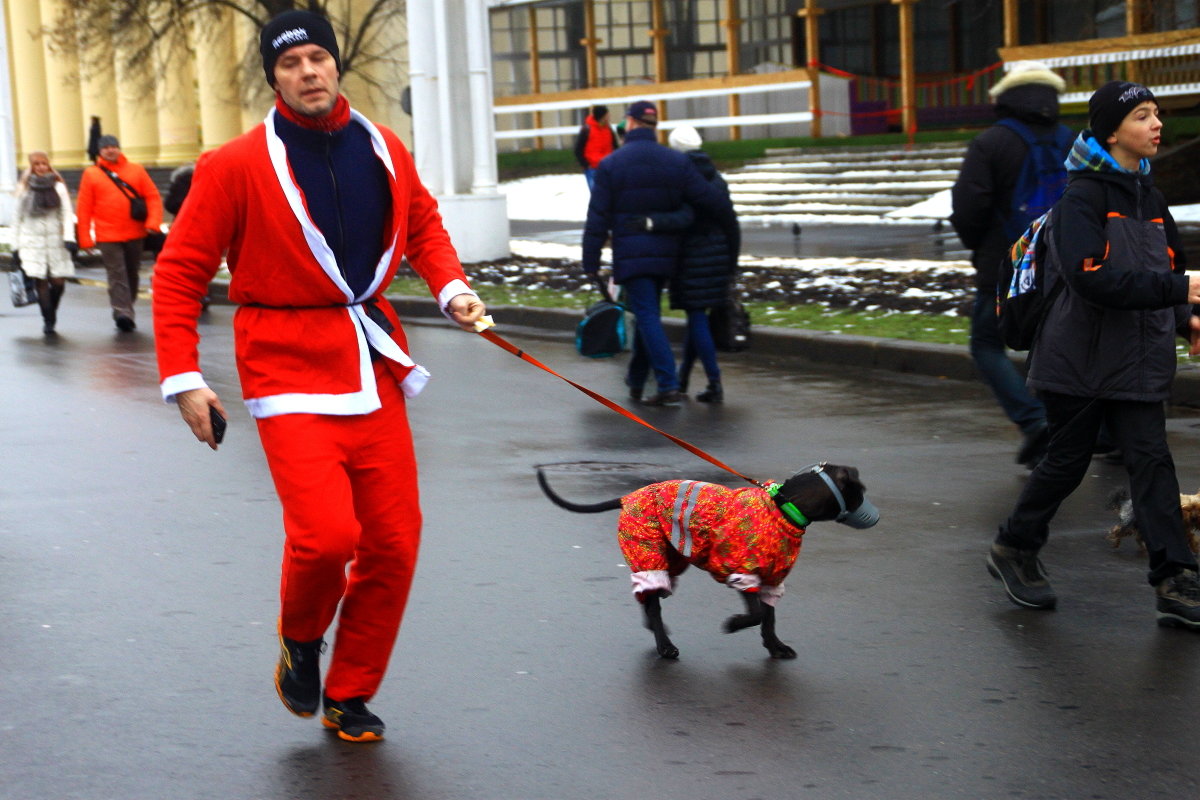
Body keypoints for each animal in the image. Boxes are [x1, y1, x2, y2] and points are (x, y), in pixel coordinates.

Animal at [540, 462, 878, 657]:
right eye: (859, 489)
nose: (875, 515)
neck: (784, 509)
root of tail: (627, 498)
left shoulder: (770, 580)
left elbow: (769, 618)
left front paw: (775, 646)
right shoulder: (743, 575)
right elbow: (756, 615)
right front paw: (734, 624)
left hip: (671, 560)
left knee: (648, 601)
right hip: (649, 557)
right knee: (653, 604)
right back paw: (665, 646)